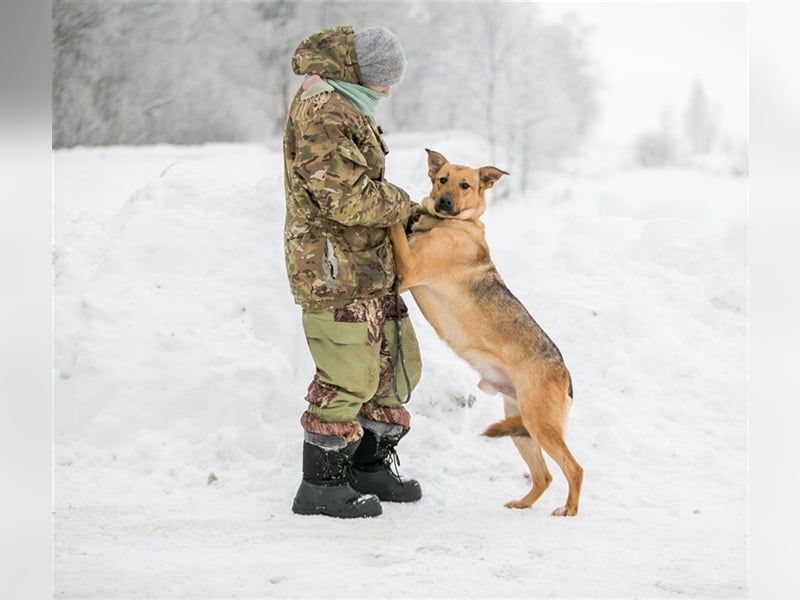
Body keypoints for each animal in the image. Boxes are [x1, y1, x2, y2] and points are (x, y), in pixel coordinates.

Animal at [388, 149, 580, 516]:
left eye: (465, 185)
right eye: (442, 179)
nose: (445, 201)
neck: (454, 223)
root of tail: (565, 372)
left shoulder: (408, 270)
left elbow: (393, 226)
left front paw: (392, 197)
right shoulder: (405, 277)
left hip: (540, 423)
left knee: (574, 469)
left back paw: (569, 511)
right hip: (520, 424)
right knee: (545, 476)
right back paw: (522, 504)